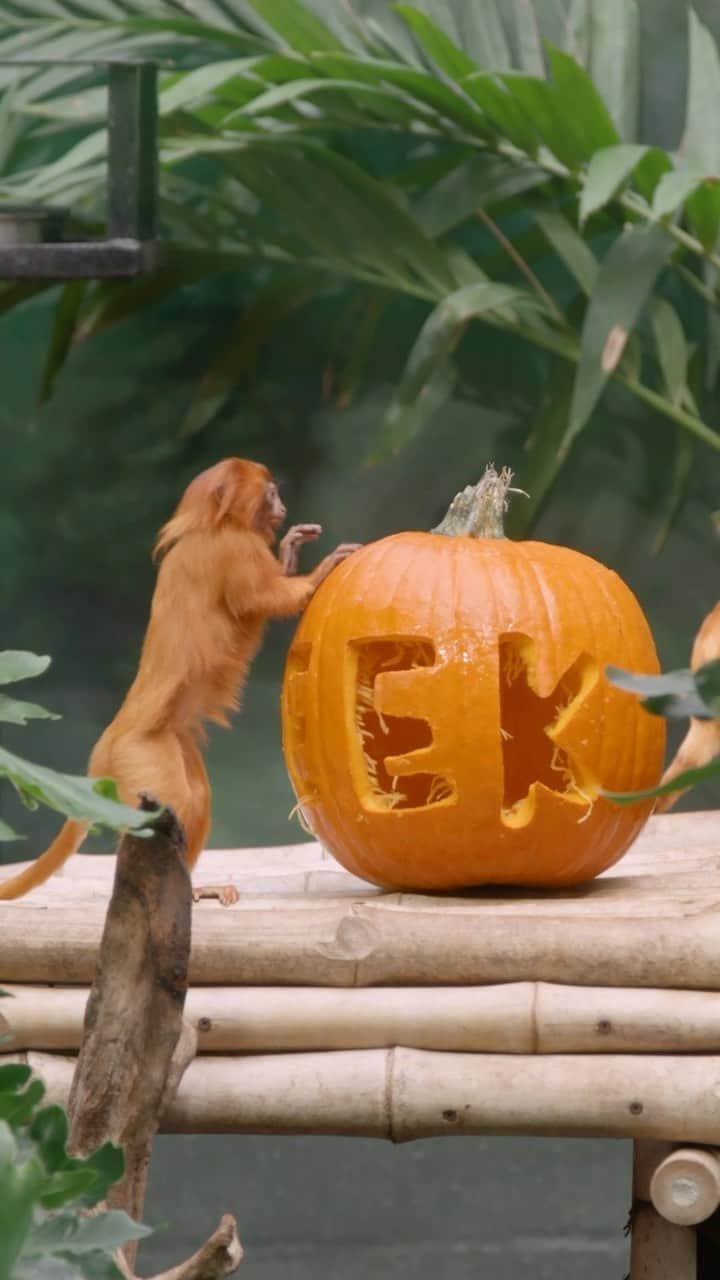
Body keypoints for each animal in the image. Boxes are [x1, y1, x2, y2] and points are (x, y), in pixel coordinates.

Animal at [0, 460, 358, 901]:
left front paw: (290, 551)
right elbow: (268, 599)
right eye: (272, 494)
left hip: (169, 743)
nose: (282, 506)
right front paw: (322, 569)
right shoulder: (233, 550)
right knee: (172, 808)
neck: (210, 527)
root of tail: (108, 741)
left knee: (196, 800)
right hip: (139, 756)